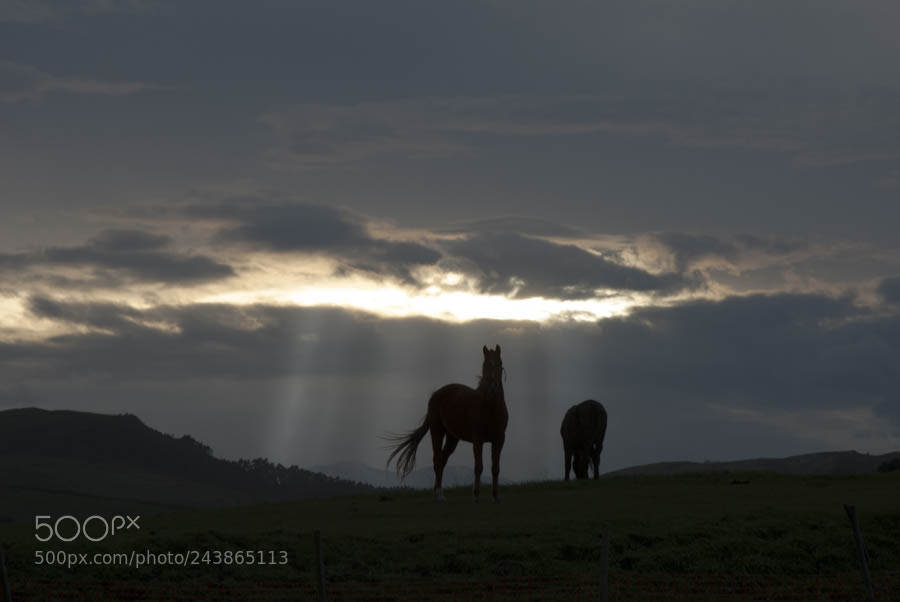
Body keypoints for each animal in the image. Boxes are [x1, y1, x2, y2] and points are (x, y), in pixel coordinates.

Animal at [385, 345, 508, 502]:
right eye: (486, 365)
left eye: (500, 363)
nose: (493, 388)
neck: (490, 409)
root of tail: (434, 395)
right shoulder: (477, 440)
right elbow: (478, 467)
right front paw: (476, 496)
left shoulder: (499, 440)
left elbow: (495, 468)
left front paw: (496, 497)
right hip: (437, 431)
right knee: (437, 460)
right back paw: (439, 495)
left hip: (452, 438)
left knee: (442, 460)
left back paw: (439, 492)